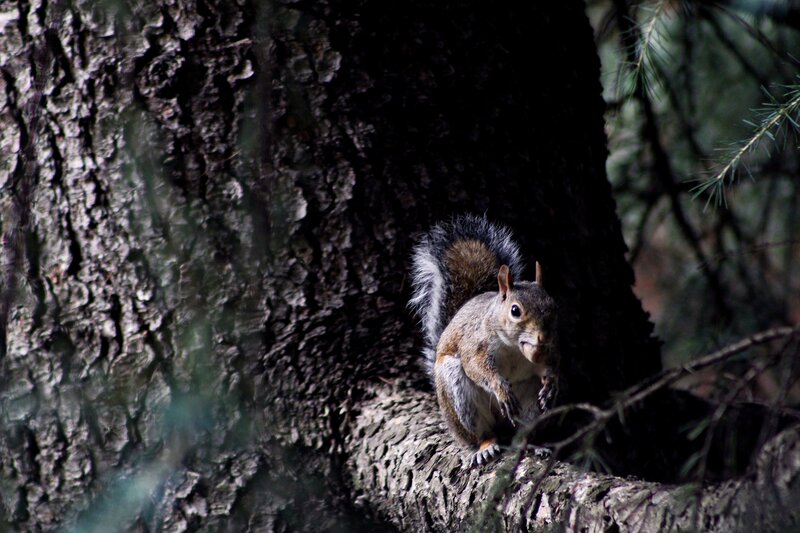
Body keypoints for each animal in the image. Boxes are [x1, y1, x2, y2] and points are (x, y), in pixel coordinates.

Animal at [409, 214, 559, 465]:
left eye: (553, 306)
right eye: (515, 310)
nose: (544, 336)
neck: (514, 347)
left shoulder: (545, 352)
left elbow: (549, 366)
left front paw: (552, 385)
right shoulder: (475, 343)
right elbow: (477, 366)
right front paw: (501, 389)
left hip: (530, 407)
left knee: (522, 433)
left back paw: (533, 445)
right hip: (459, 397)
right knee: (482, 433)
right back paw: (486, 447)